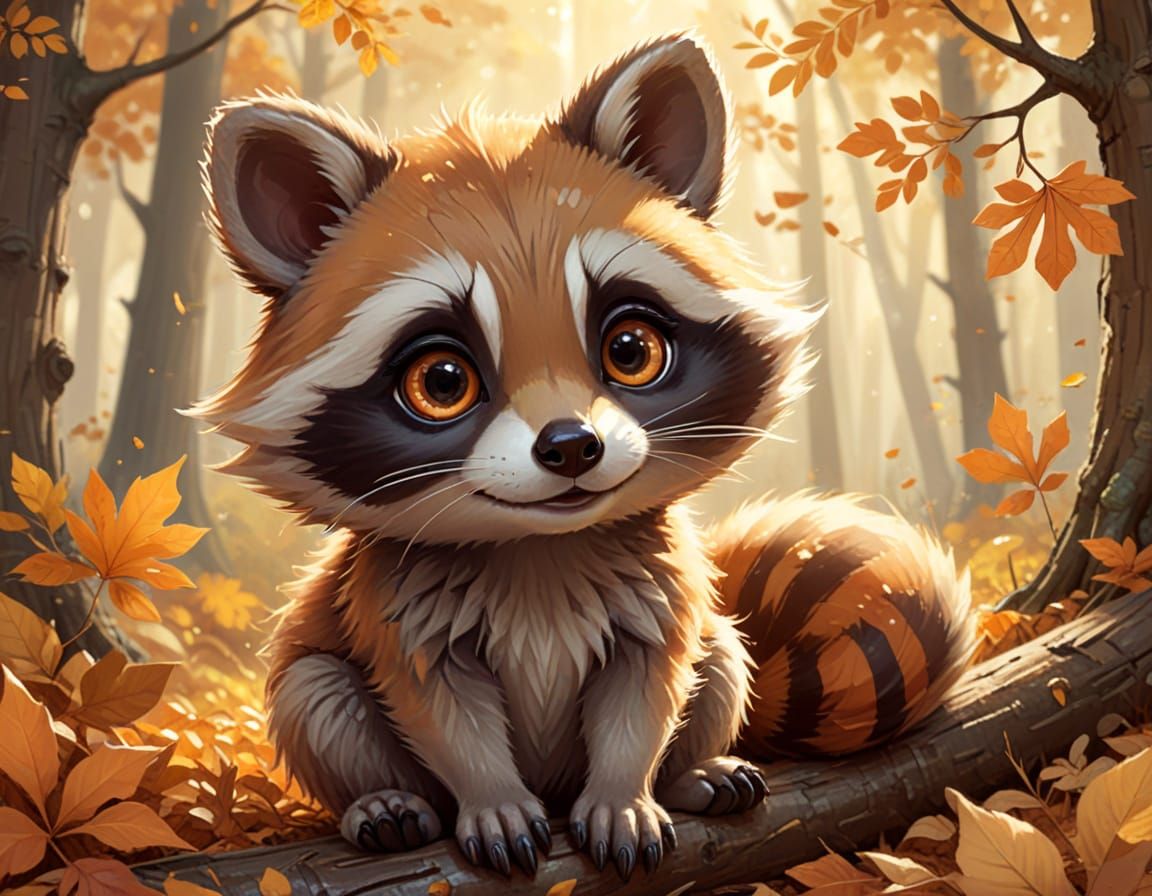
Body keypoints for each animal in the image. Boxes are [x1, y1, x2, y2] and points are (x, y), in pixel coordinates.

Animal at [196, 33, 974, 882]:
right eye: (443, 382)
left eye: (630, 349)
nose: (571, 446)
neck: (542, 548)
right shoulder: (398, 604)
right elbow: (441, 712)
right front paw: (491, 796)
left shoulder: (658, 591)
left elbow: (648, 692)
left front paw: (625, 792)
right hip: (320, 679)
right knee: (316, 691)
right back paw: (380, 800)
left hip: (716, 636)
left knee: (721, 656)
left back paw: (692, 771)